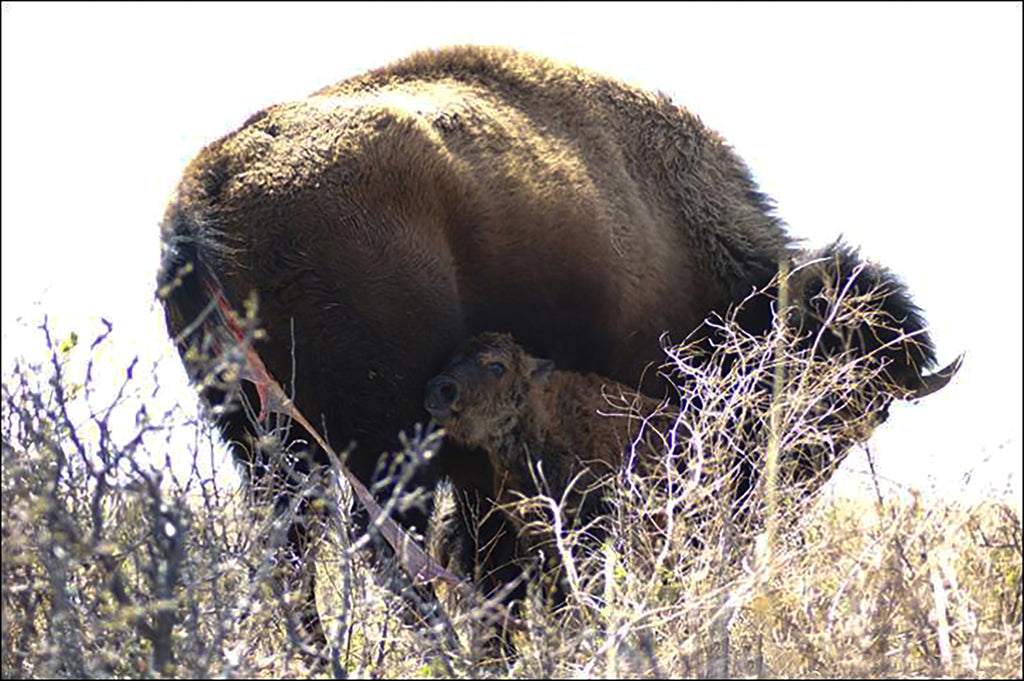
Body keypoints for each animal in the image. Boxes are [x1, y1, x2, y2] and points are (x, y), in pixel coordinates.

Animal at [155, 46, 954, 655]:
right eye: (808, 386)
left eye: (872, 412)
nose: (779, 491)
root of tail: (207, 195)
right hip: (378, 449)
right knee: (392, 566)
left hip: (264, 445)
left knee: (291, 563)